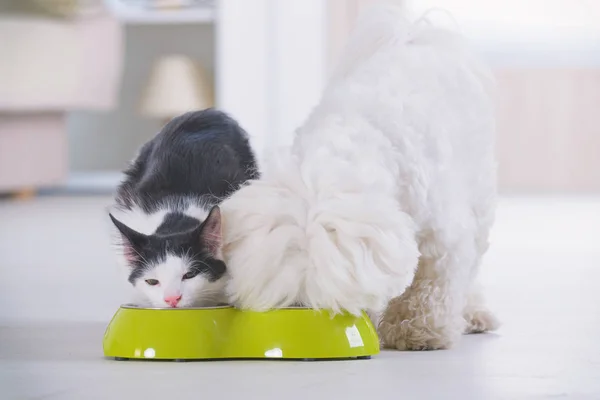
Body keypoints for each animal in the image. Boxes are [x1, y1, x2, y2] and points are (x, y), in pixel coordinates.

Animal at [223, 0, 500, 350]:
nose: (300, 310)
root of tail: (413, 36)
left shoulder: (443, 235)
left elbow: (434, 283)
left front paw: (418, 330)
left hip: (478, 189)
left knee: (471, 262)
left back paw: (473, 313)